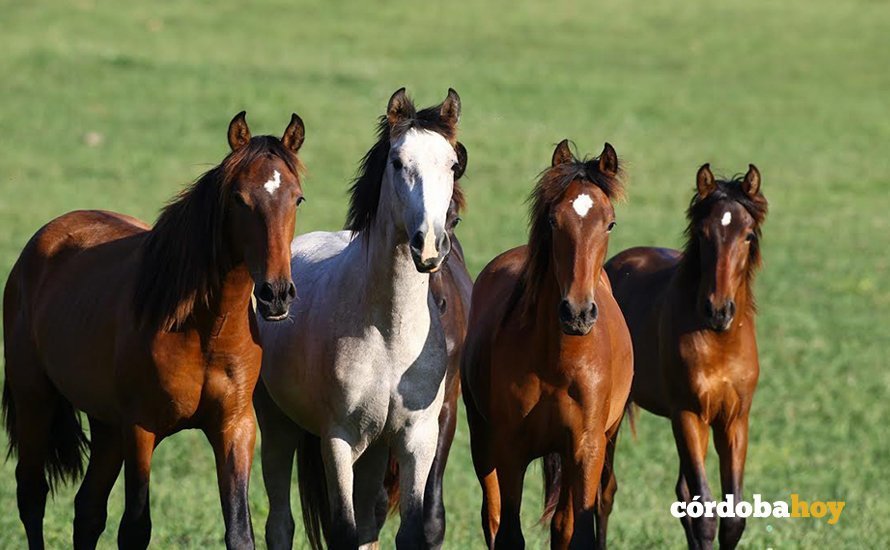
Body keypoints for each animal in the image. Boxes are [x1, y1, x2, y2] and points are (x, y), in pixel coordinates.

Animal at [2, 111, 306, 549]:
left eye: (297, 198)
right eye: (239, 199)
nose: (276, 294)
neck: (204, 329)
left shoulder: (235, 428)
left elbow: (239, 530)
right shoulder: (140, 430)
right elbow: (135, 529)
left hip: (106, 425)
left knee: (87, 510)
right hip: (35, 398)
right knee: (32, 494)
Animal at [253, 88, 466, 549]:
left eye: (452, 163)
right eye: (398, 161)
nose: (429, 245)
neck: (388, 333)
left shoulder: (416, 440)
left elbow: (407, 531)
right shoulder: (339, 440)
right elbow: (344, 531)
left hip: (375, 451)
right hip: (277, 427)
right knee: (280, 523)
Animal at [461, 140, 633, 549]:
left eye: (610, 223)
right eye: (555, 221)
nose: (577, 312)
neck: (559, 361)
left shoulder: (586, 449)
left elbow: (577, 530)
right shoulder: (509, 449)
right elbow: (508, 532)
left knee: (563, 523)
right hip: (482, 441)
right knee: (492, 517)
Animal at [604, 164, 767, 549]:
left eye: (748, 235)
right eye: (704, 234)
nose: (719, 310)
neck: (719, 342)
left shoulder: (734, 420)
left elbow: (732, 518)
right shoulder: (689, 415)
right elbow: (705, 513)